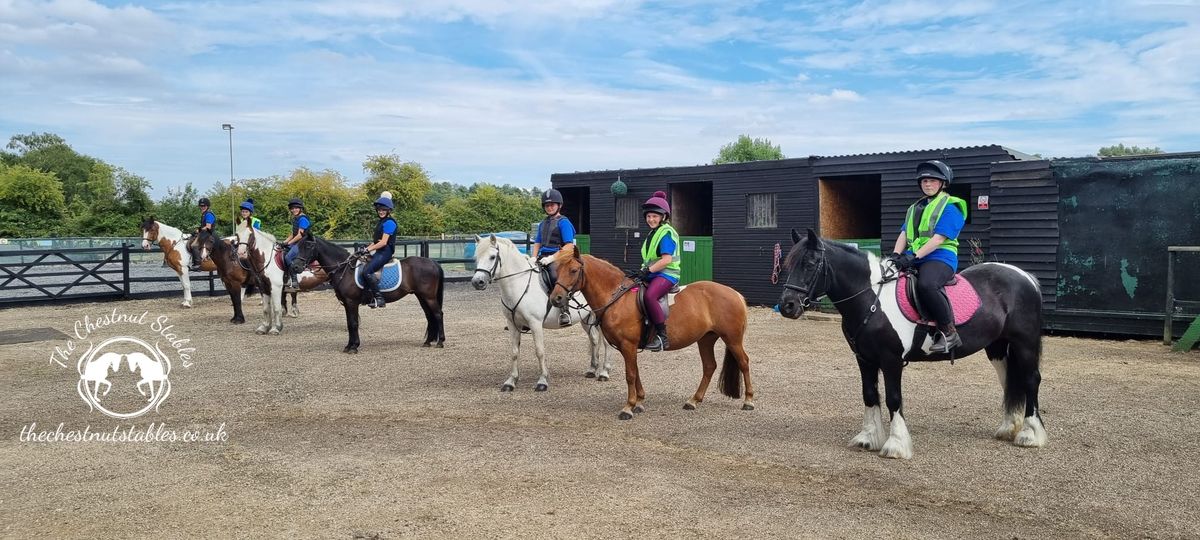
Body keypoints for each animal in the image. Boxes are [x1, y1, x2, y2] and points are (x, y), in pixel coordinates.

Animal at [290, 234, 446, 352]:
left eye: (308, 246)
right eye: (298, 246)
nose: (295, 267)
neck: (345, 269)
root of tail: (433, 262)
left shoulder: (352, 302)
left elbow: (353, 323)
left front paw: (354, 347)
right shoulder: (347, 303)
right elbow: (349, 323)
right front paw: (349, 346)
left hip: (429, 297)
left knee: (438, 314)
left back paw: (440, 342)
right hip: (421, 296)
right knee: (429, 316)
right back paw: (428, 341)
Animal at [463, 236, 604, 391]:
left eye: (492, 257)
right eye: (476, 257)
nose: (477, 282)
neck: (519, 284)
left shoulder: (535, 323)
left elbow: (539, 351)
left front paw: (542, 381)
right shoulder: (512, 324)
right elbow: (514, 352)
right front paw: (511, 381)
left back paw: (604, 372)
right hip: (586, 319)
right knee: (594, 339)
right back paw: (592, 369)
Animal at [547, 243, 753, 417]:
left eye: (573, 270)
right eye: (558, 270)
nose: (556, 298)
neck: (616, 297)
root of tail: (734, 293)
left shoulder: (628, 345)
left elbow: (630, 374)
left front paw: (628, 407)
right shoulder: (627, 347)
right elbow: (636, 372)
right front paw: (639, 402)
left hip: (732, 339)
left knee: (743, 362)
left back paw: (749, 400)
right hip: (706, 339)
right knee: (709, 366)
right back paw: (693, 400)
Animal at [777, 229, 1041, 460]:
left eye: (810, 264)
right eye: (788, 265)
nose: (788, 306)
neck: (872, 299)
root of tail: (1026, 277)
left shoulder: (891, 359)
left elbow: (894, 399)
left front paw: (896, 445)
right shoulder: (864, 359)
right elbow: (869, 394)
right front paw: (868, 438)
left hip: (1024, 343)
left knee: (1030, 380)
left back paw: (1030, 434)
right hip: (997, 347)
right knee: (1009, 381)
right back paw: (1008, 428)